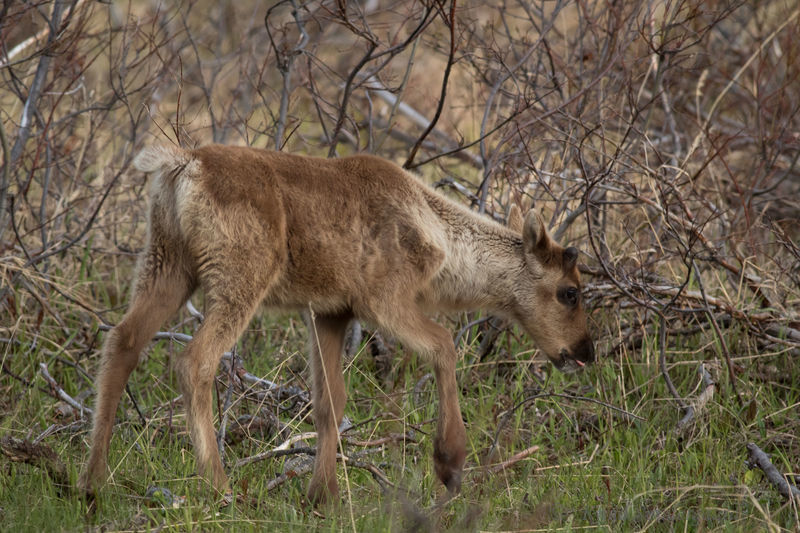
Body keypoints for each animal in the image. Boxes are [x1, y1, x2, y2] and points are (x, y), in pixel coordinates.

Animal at [81, 144, 592, 502]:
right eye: (570, 291)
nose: (585, 351)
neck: (445, 251)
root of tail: (182, 166)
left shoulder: (329, 310)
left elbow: (330, 400)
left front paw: (321, 495)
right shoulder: (382, 299)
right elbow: (444, 343)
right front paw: (449, 462)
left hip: (167, 261)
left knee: (122, 340)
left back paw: (92, 481)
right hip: (239, 273)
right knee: (194, 361)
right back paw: (219, 486)